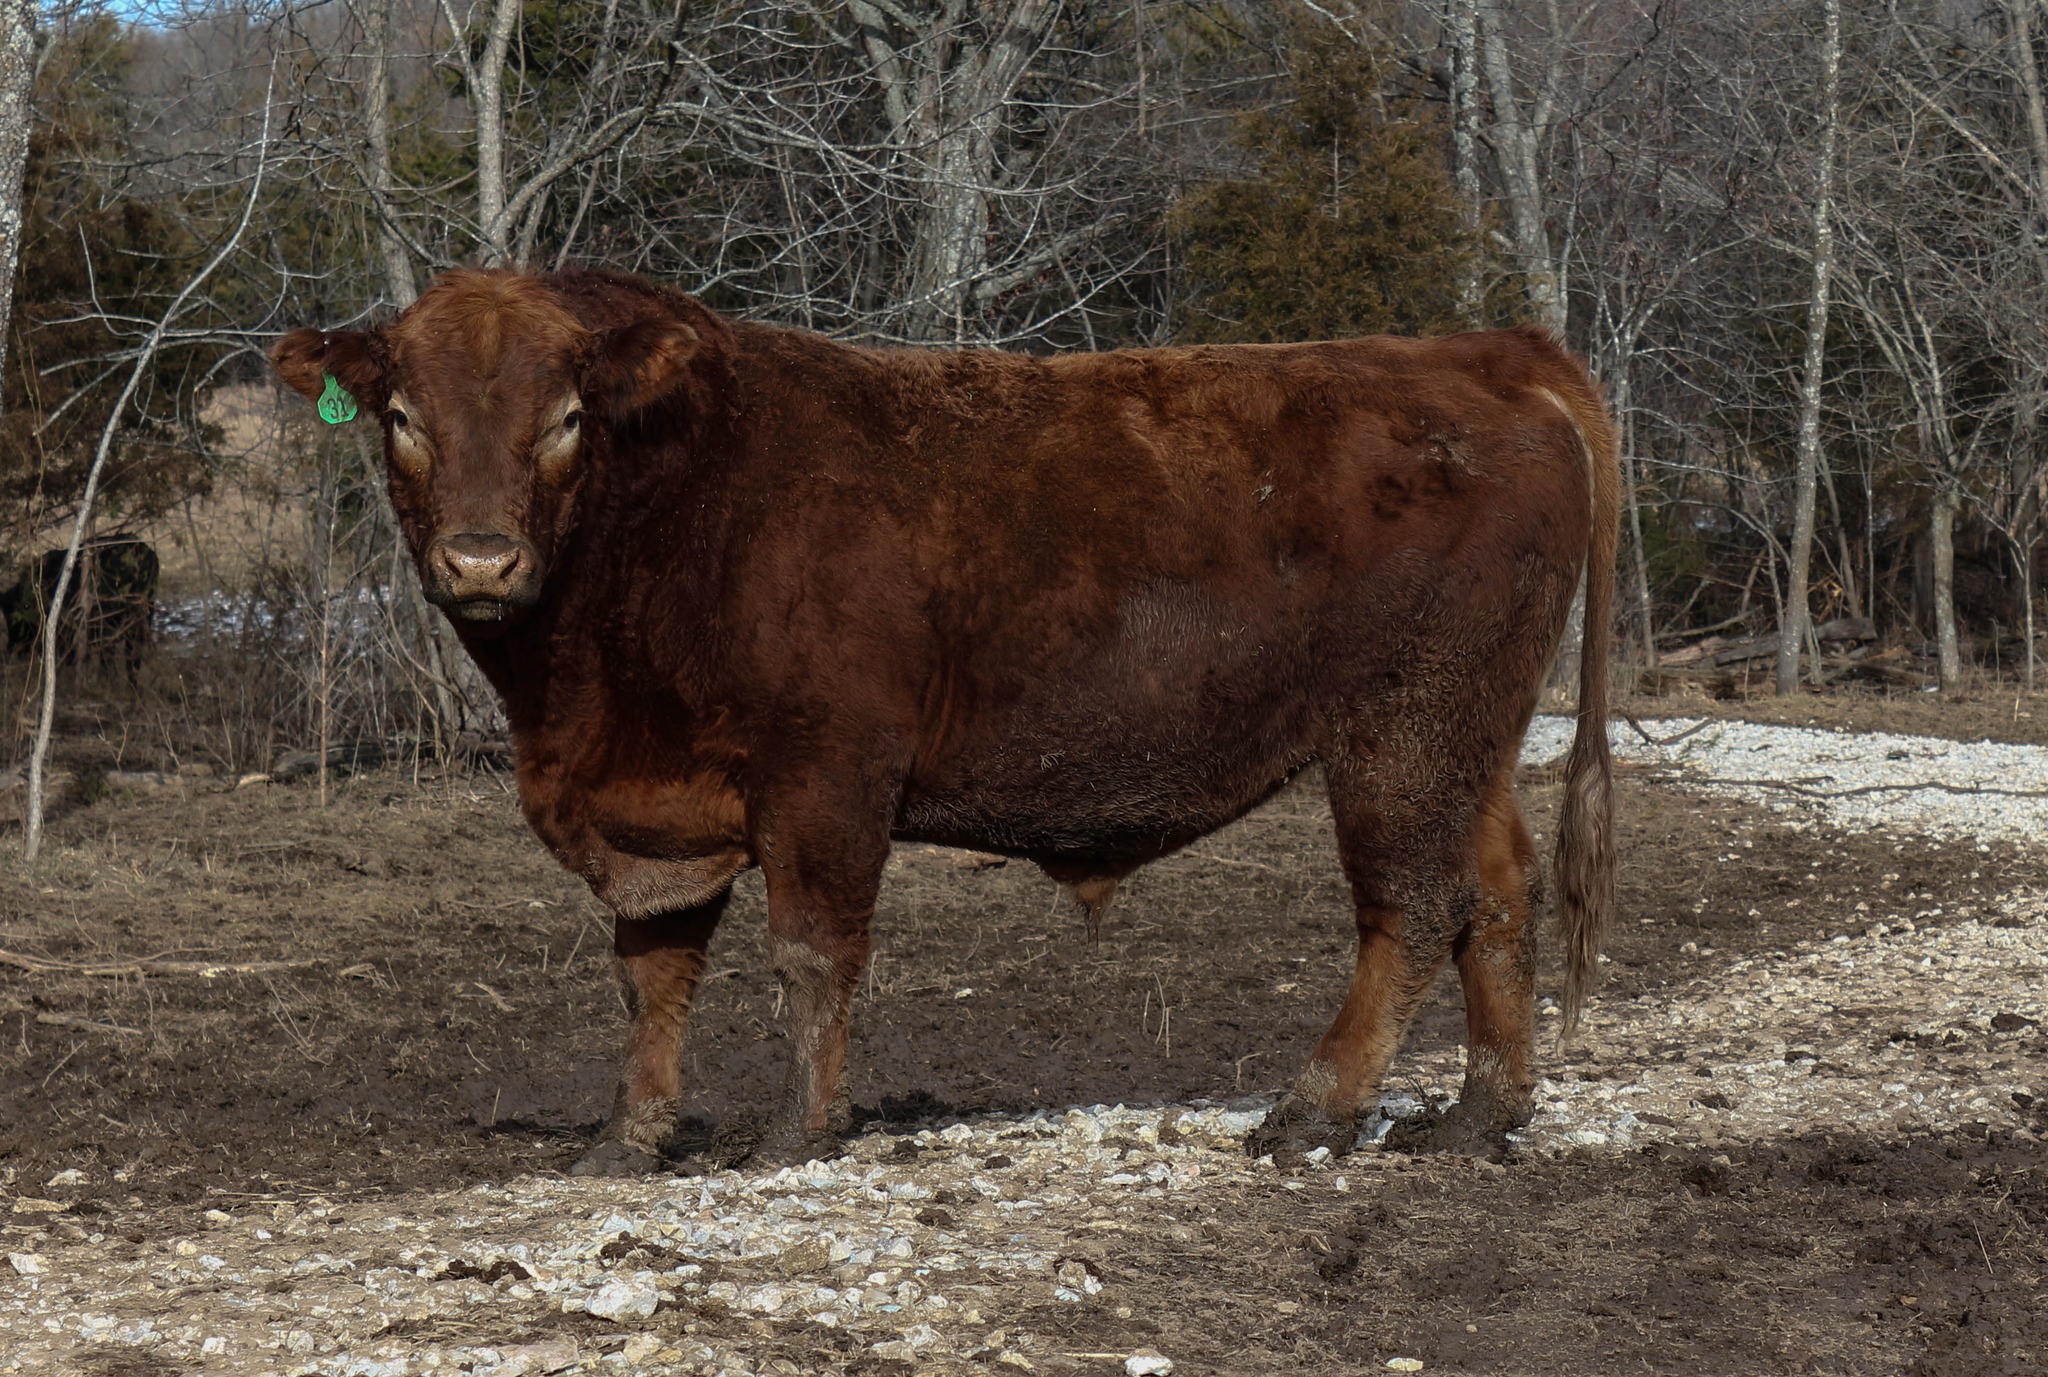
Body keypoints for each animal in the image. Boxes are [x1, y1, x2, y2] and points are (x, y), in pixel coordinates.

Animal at [272, 267, 1617, 1174]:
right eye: (403, 418)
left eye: (563, 419)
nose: (480, 558)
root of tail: (1481, 351)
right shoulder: (660, 810)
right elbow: (650, 974)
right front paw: (627, 1137)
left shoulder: (824, 775)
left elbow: (812, 953)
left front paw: (795, 1130)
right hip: (1469, 735)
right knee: (1495, 890)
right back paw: (1480, 1116)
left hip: (1400, 730)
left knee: (1410, 906)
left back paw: (1310, 1110)